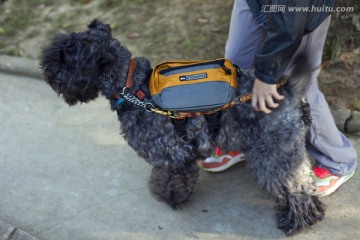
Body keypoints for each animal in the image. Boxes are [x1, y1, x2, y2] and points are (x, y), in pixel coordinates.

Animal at [40, 19, 324, 235]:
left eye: (66, 54)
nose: (46, 70)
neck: (132, 88)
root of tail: (287, 91)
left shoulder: (172, 156)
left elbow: (168, 180)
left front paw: (169, 198)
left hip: (274, 154)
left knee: (293, 187)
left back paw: (296, 221)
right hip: (285, 152)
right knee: (303, 179)